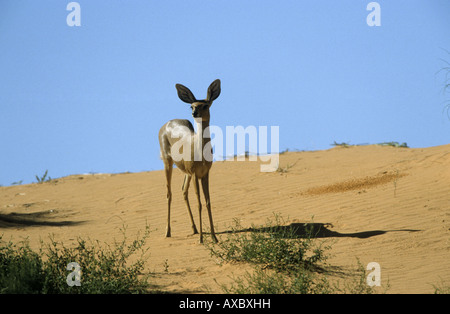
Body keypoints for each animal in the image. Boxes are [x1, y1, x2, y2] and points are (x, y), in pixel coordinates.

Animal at [158, 79, 221, 243]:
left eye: (205, 105)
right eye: (191, 106)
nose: (194, 113)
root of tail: (166, 124)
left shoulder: (204, 174)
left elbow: (208, 202)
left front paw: (214, 237)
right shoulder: (195, 173)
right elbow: (199, 203)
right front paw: (201, 239)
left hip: (186, 172)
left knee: (183, 190)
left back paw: (194, 229)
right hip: (167, 162)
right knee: (169, 193)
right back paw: (168, 232)